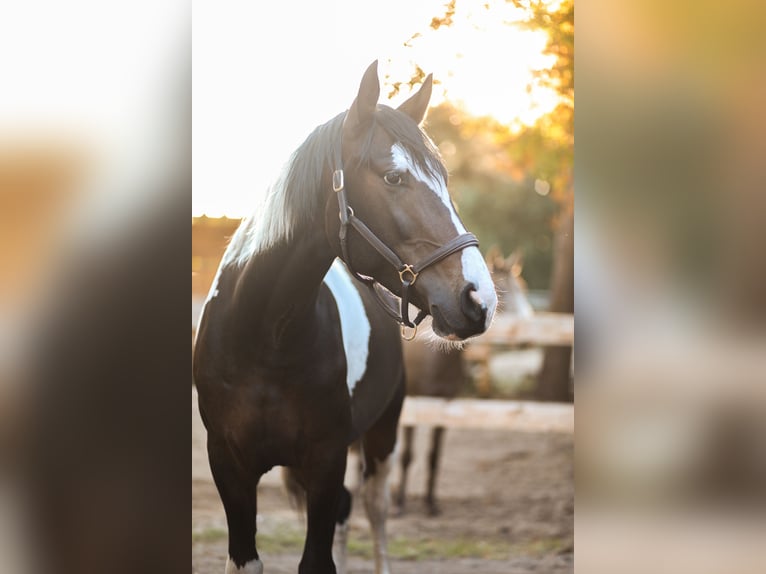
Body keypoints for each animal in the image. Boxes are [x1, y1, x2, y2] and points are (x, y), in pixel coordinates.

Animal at [192, 61, 497, 574]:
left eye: (444, 179)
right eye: (393, 178)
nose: (479, 299)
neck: (266, 337)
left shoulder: (327, 460)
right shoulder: (229, 467)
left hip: (382, 436)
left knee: (374, 509)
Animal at [394, 250, 533, 516]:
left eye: (523, 288)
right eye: (504, 289)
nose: (527, 340)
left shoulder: (444, 404)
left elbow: (434, 455)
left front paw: (431, 503)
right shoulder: (413, 401)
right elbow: (407, 454)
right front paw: (401, 502)